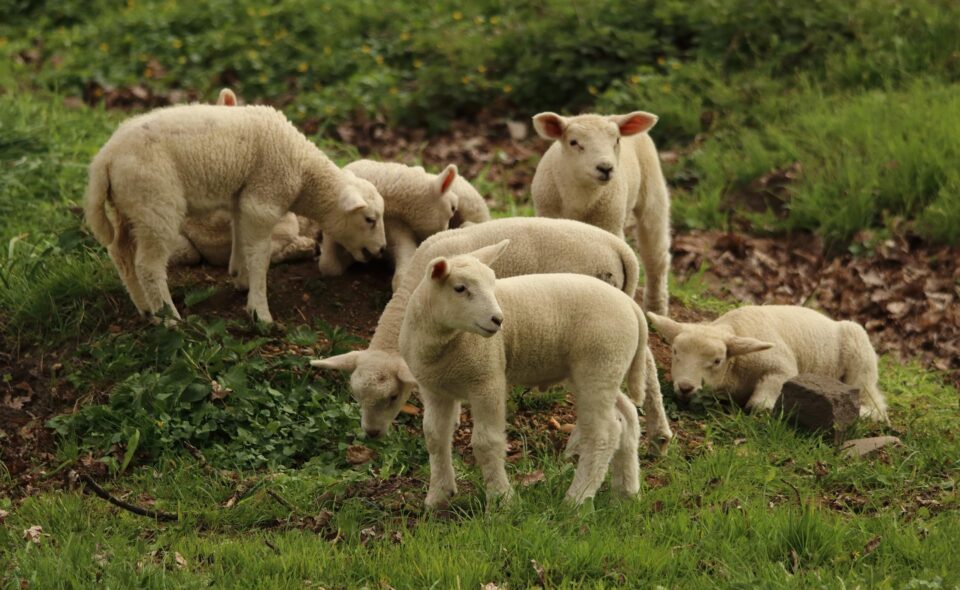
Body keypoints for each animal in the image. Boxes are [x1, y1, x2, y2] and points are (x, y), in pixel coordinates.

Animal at [85, 103, 386, 324]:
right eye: (369, 219)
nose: (382, 250)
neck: (303, 171)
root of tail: (104, 159)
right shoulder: (263, 199)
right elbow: (261, 256)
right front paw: (260, 311)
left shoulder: (244, 199)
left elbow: (241, 237)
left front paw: (240, 277)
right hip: (155, 203)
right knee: (148, 265)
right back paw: (169, 319)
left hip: (129, 208)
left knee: (120, 253)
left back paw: (146, 310)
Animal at [312, 216, 672, 454]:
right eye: (356, 396)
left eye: (392, 397)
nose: (371, 434)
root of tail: (620, 248)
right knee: (647, 361)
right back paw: (660, 431)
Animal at [398, 240, 668, 508]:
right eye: (460, 288)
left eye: (493, 283)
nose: (498, 320)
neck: (445, 343)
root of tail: (631, 305)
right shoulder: (434, 390)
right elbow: (435, 438)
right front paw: (438, 496)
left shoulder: (487, 379)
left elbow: (487, 442)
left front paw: (501, 499)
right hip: (602, 370)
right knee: (628, 417)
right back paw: (627, 492)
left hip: (600, 364)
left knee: (604, 433)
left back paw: (577, 499)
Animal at [528, 109, 672, 316]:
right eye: (574, 142)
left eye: (617, 140)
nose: (605, 168)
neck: (582, 198)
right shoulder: (548, 215)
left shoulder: (610, 223)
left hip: (652, 189)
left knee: (655, 256)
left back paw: (656, 309)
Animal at [648, 308, 888, 424]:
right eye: (675, 352)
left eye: (717, 361)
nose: (685, 387)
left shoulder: (781, 367)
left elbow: (759, 404)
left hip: (861, 362)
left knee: (876, 406)